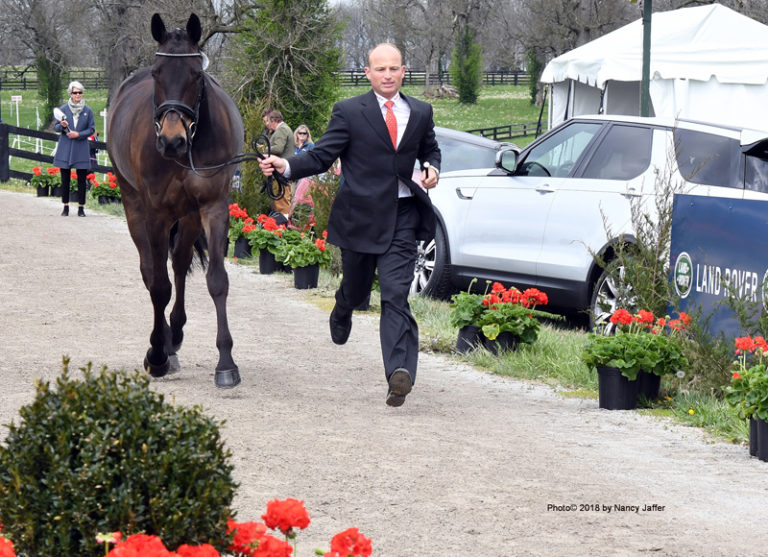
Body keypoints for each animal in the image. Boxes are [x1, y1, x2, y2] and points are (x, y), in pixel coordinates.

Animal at [107, 13, 244, 388]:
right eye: (157, 72)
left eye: (196, 74)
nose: (171, 141)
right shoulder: (155, 214)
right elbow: (158, 285)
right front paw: (156, 354)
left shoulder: (212, 208)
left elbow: (216, 280)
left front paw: (226, 362)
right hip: (135, 207)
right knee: (151, 270)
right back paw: (164, 346)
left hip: (188, 216)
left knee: (180, 264)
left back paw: (176, 334)